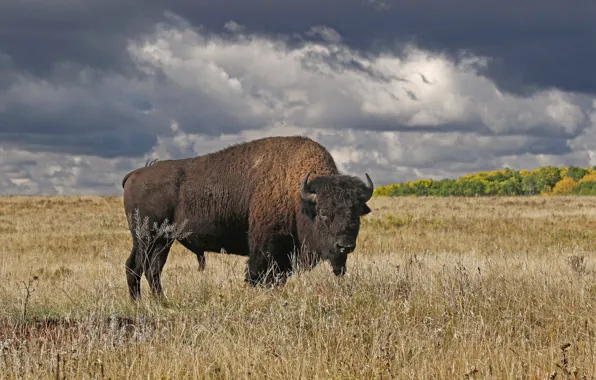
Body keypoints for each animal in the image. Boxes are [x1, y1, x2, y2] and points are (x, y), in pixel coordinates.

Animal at [120, 135, 372, 298]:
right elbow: (258, 276)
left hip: (162, 241)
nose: (345, 246)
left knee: (152, 269)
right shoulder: (265, 249)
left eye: (356, 214)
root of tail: (135, 174)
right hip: (145, 237)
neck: (297, 195)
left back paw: (161, 303)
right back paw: (141, 304)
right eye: (324, 213)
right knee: (136, 266)